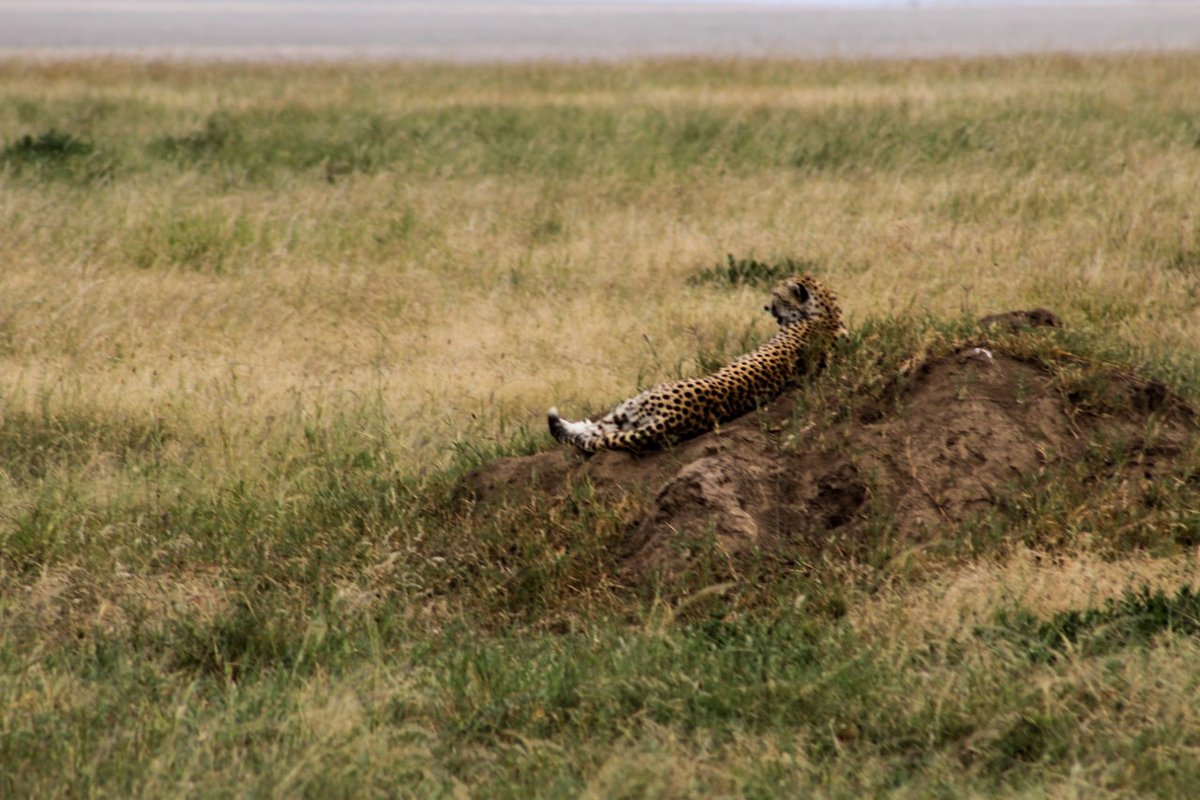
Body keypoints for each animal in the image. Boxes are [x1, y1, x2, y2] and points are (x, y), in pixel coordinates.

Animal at [548, 275, 845, 453]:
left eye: (777, 295)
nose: (766, 307)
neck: (826, 314)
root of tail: (672, 420)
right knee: (593, 434)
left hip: (634, 403)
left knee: (590, 432)